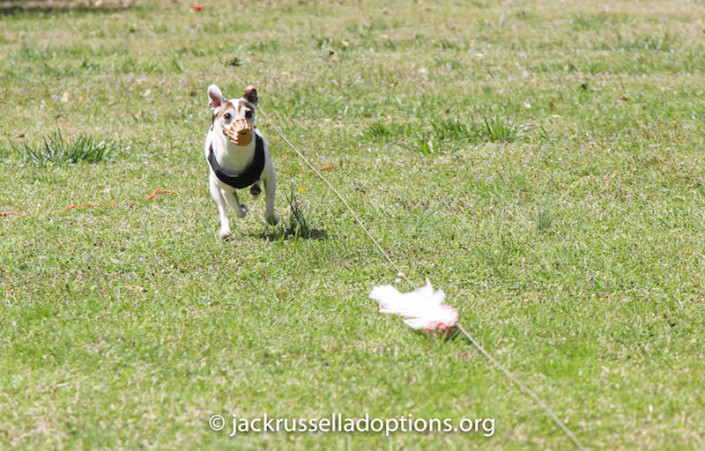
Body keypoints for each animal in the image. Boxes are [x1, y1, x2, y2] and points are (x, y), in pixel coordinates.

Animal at [204, 85, 278, 240]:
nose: (242, 128)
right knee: (223, 209)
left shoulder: (270, 177)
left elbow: (269, 208)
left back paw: (255, 189)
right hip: (213, 186)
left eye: (248, 113)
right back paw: (225, 230)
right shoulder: (226, 189)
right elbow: (236, 209)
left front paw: (273, 219)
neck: (238, 152)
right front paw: (242, 208)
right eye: (227, 116)